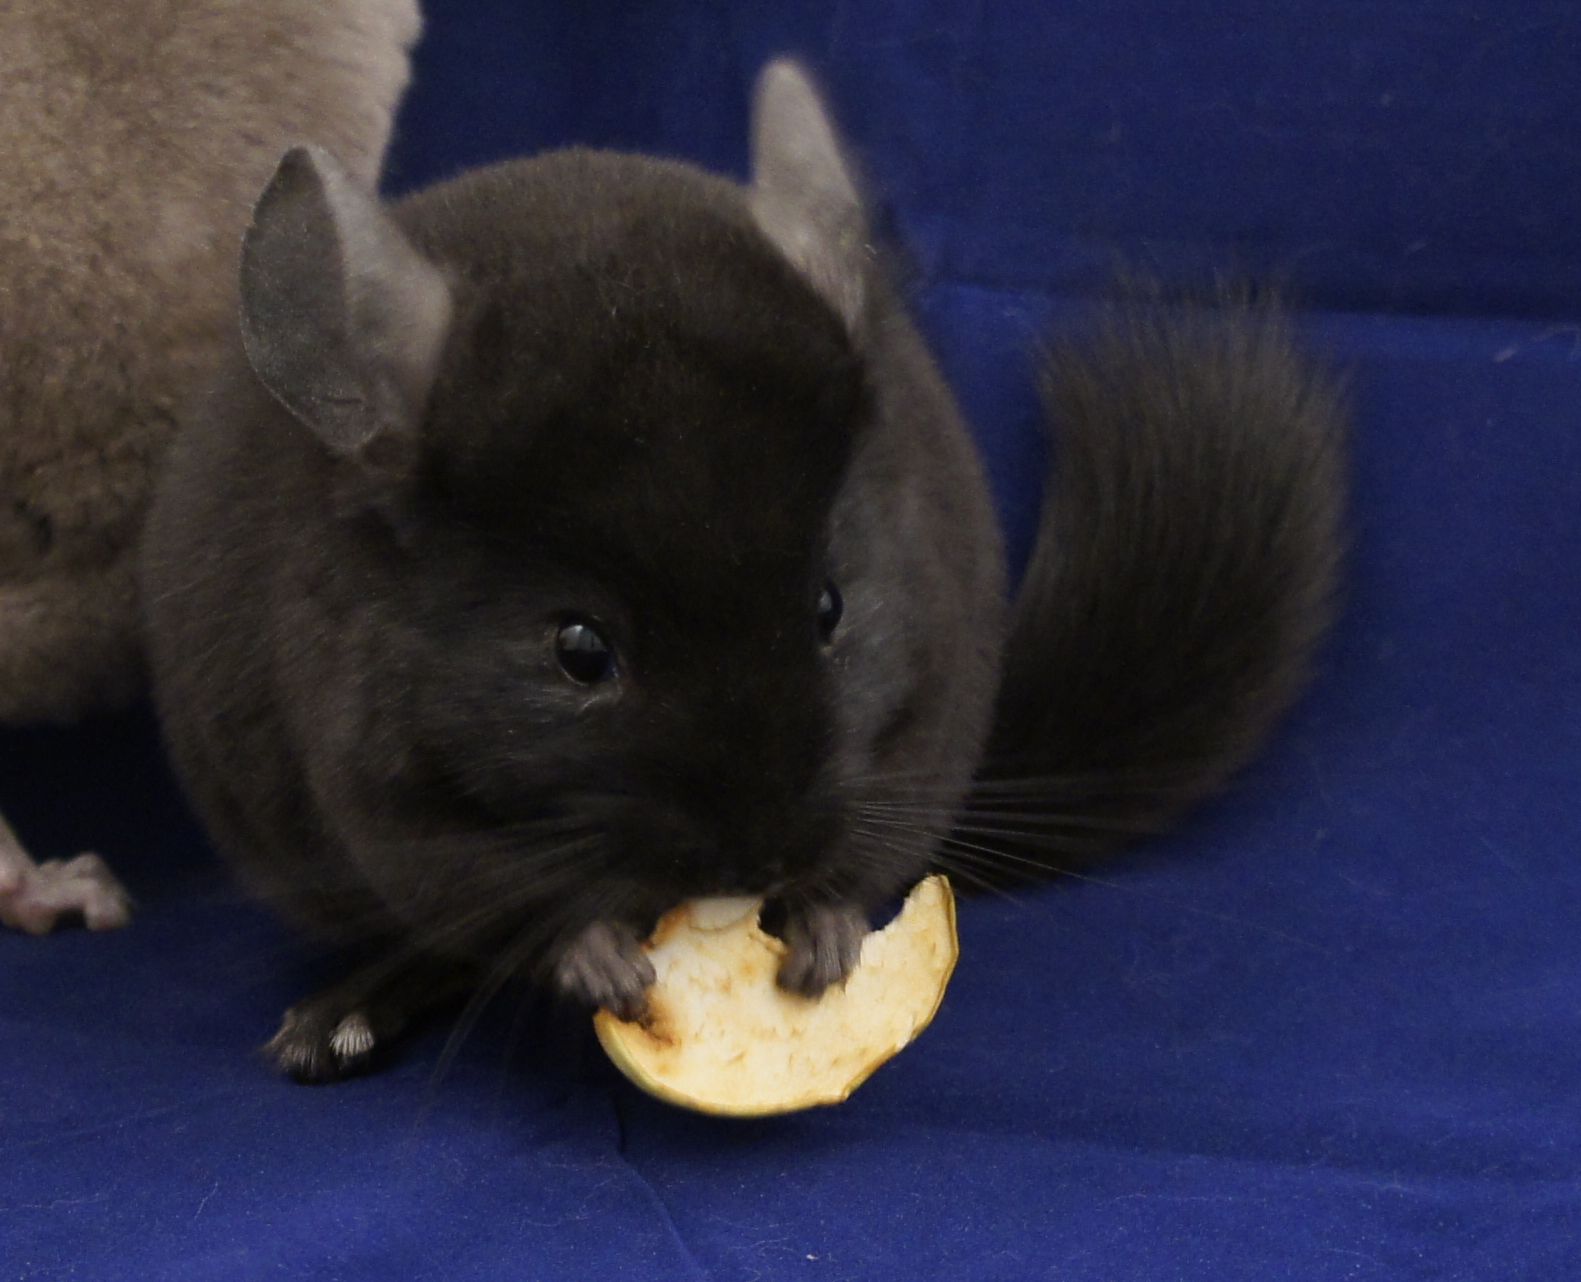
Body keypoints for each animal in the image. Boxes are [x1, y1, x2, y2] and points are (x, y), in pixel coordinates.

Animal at [140, 61, 1345, 1082]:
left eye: (831, 605)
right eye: (578, 650)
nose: (757, 854)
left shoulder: (924, 723)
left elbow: (864, 851)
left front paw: (823, 935)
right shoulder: (390, 799)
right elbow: (504, 899)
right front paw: (599, 958)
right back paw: (332, 1025)